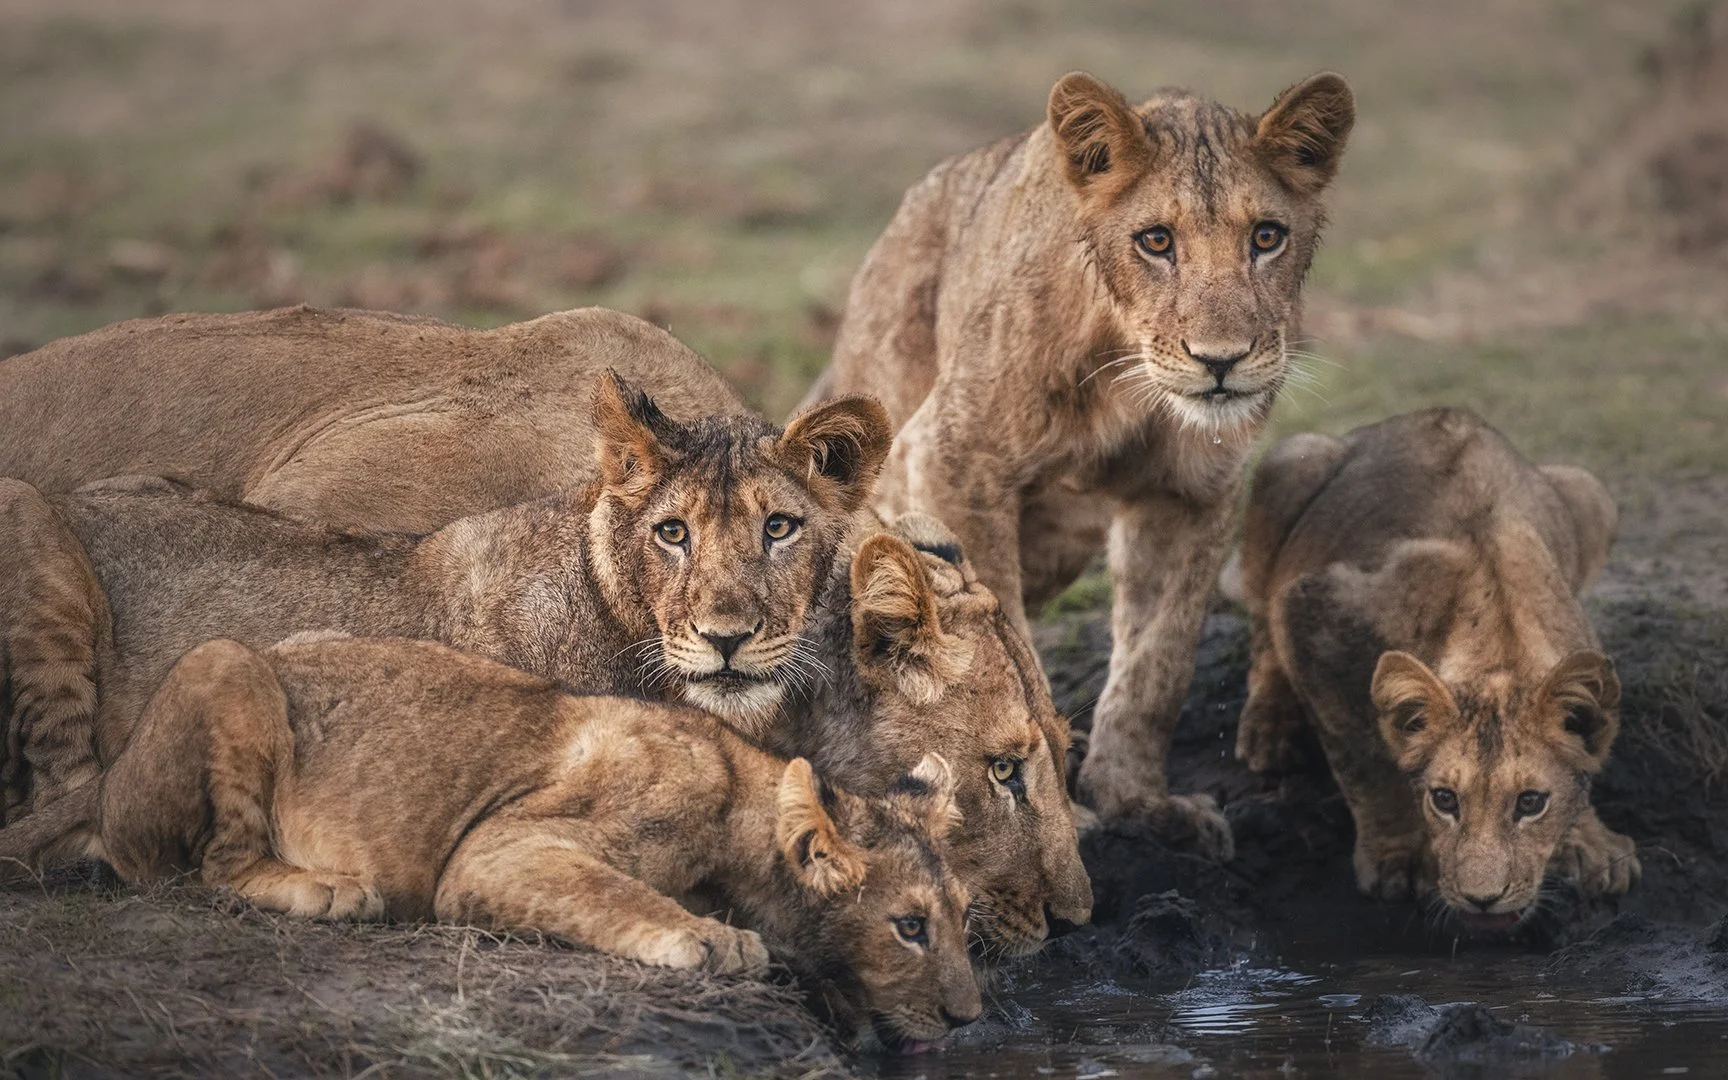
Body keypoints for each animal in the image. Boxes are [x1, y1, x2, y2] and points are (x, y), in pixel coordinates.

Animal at [0, 635, 982, 1049]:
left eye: (963, 922)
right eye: (909, 927)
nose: (971, 1018)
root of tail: (103, 777)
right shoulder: (498, 849)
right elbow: (619, 892)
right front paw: (710, 938)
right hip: (226, 661)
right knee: (208, 867)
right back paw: (323, 888)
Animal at [802, 70, 1356, 859]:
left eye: (1267, 237)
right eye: (1156, 241)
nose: (1220, 362)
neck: (1132, 382)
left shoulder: (1193, 497)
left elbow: (1159, 662)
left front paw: (1136, 801)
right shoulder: (949, 460)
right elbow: (1010, 654)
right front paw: (1060, 814)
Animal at [1234, 407, 1638, 933]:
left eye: (1530, 803)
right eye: (1445, 800)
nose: (1483, 900)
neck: (1500, 638)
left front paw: (1588, 842)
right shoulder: (1313, 608)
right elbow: (1363, 755)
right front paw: (1401, 857)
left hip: (1588, 491)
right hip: (1286, 463)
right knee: (1261, 627)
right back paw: (1269, 730)